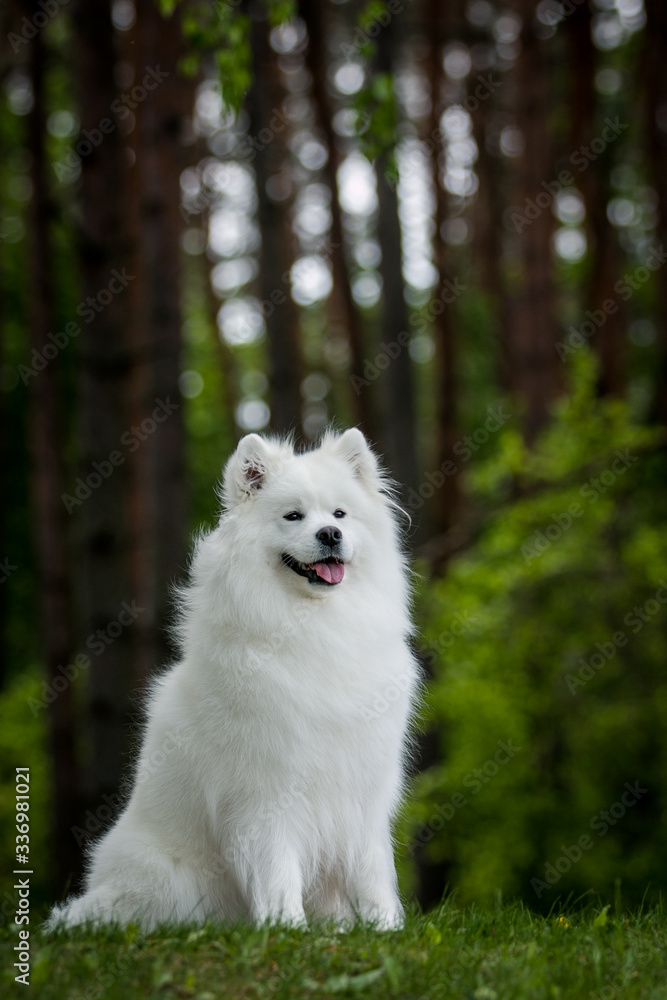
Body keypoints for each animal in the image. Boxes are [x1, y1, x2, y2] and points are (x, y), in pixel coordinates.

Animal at [49, 428, 420, 928]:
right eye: (293, 515)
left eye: (340, 514)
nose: (330, 534)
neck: (315, 623)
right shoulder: (266, 794)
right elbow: (277, 869)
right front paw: (286, 928)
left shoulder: (362, 791)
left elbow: (371, 871)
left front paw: (384, 929)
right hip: (168, 879)